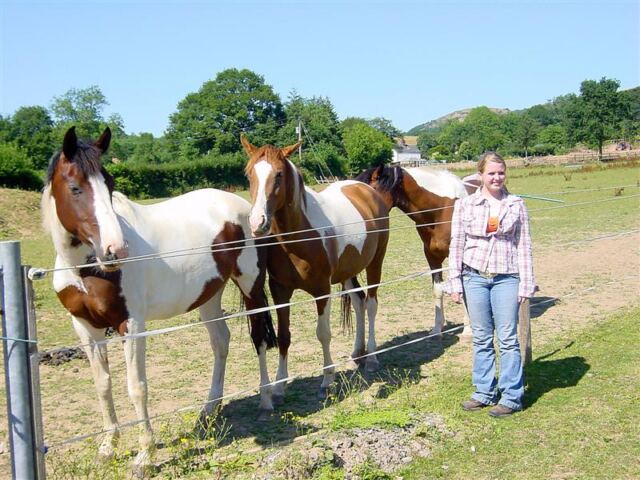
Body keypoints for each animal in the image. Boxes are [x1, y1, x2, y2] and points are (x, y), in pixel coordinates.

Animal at [42, 127, 277, 473]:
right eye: (75, 188)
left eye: (109, 183)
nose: (116, 250)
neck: (85, 267)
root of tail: (243, 208)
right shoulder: (86, 328)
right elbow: (102, 385)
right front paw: (107, 447)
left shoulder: (131, 325)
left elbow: (136, 387)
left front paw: (144, 455)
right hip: (208, 296)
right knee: (221, 342)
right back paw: (208, 412)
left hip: (251, 288)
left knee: (258, 338)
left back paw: (265, 401)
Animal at [241, 135, 390, 404]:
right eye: (249, 174)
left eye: (279, 174)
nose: (257, 223)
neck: (297, 236)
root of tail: (366, 190)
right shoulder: (280, 291)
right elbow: (284, 336)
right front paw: (279, 386)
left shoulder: (322, 290)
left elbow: (323, 333)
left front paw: (327, 380)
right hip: (348, 272)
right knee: (359, 301)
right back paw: (357, 353)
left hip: (376, 262)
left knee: (372, 304)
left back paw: (372, 357)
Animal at [356, 164, 478, 335]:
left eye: (369, 192)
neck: (441, 209)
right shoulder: (432, 256)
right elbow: (438, 290)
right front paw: (437, 329)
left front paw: (468, 330)